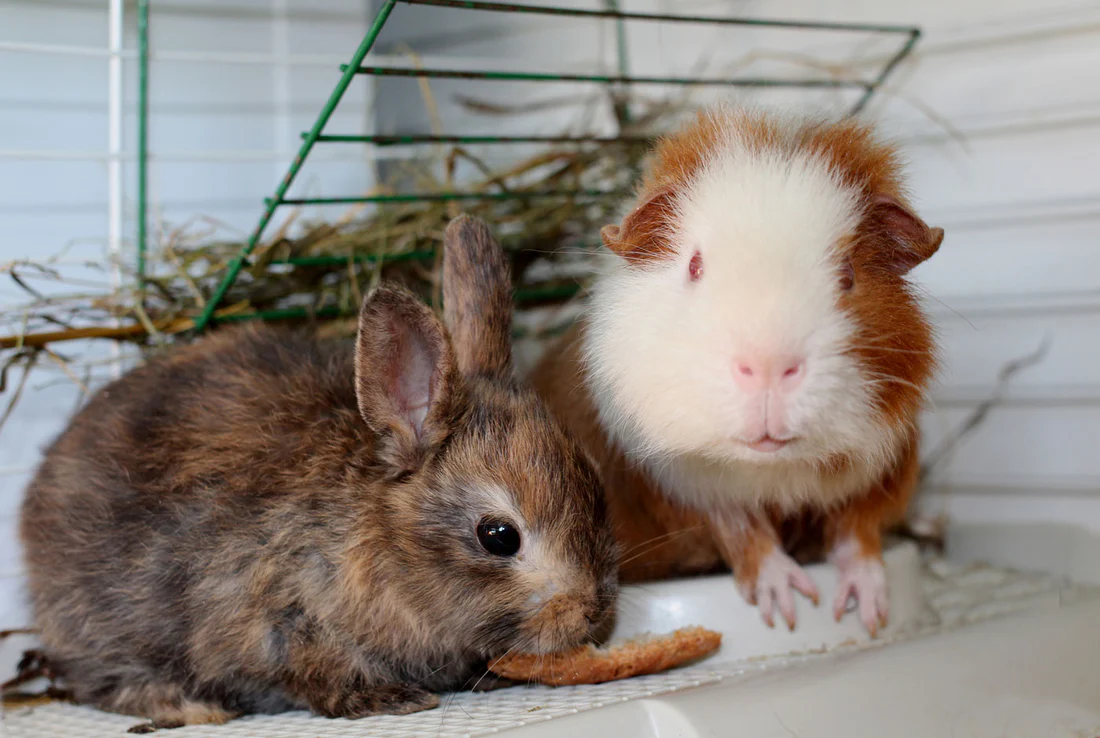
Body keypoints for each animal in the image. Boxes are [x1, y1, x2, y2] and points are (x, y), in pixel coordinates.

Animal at [19, 215, 619, 730]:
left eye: (597, 486)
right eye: (498, 537)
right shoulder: (275, 620)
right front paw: (388, 699)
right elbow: (313, 676)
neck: (382, 539)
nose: (593, 613)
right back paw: (193, 708)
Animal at [530, 106, 942, 636]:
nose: (767, 365)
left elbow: (857, 528)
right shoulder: (684, 488)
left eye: (848, 274)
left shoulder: (884, 466)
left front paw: (864, 609)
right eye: (694, 265)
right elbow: (742, 532)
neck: (770, 470)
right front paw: (786, 605)